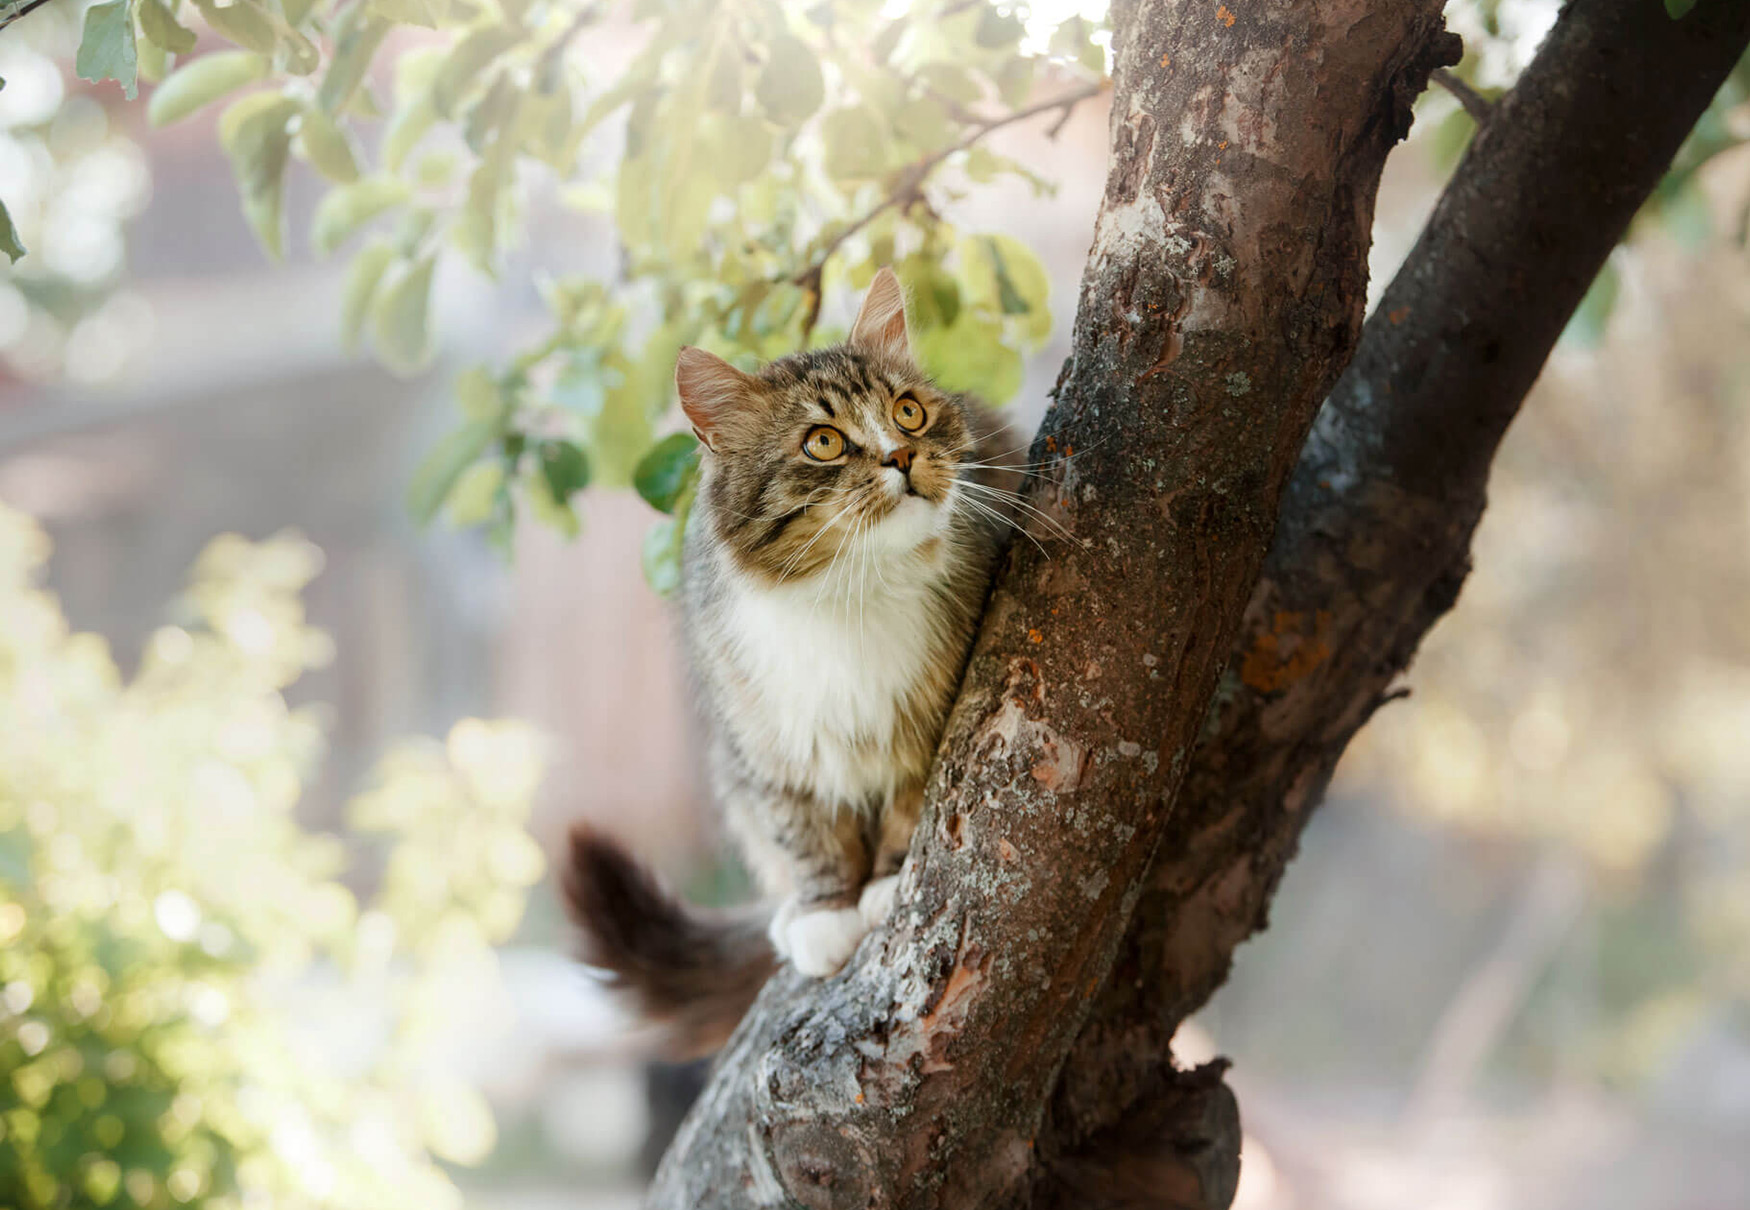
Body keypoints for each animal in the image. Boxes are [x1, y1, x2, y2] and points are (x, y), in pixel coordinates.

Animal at [567, 269, 1022, 1057]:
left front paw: (884, 884)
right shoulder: (767, 740)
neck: (852, 592)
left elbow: (910, 803)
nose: (902, 456)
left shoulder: (937, 713)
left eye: (907, 413)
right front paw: (825, 911)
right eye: (824, 442)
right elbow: (807, 833)